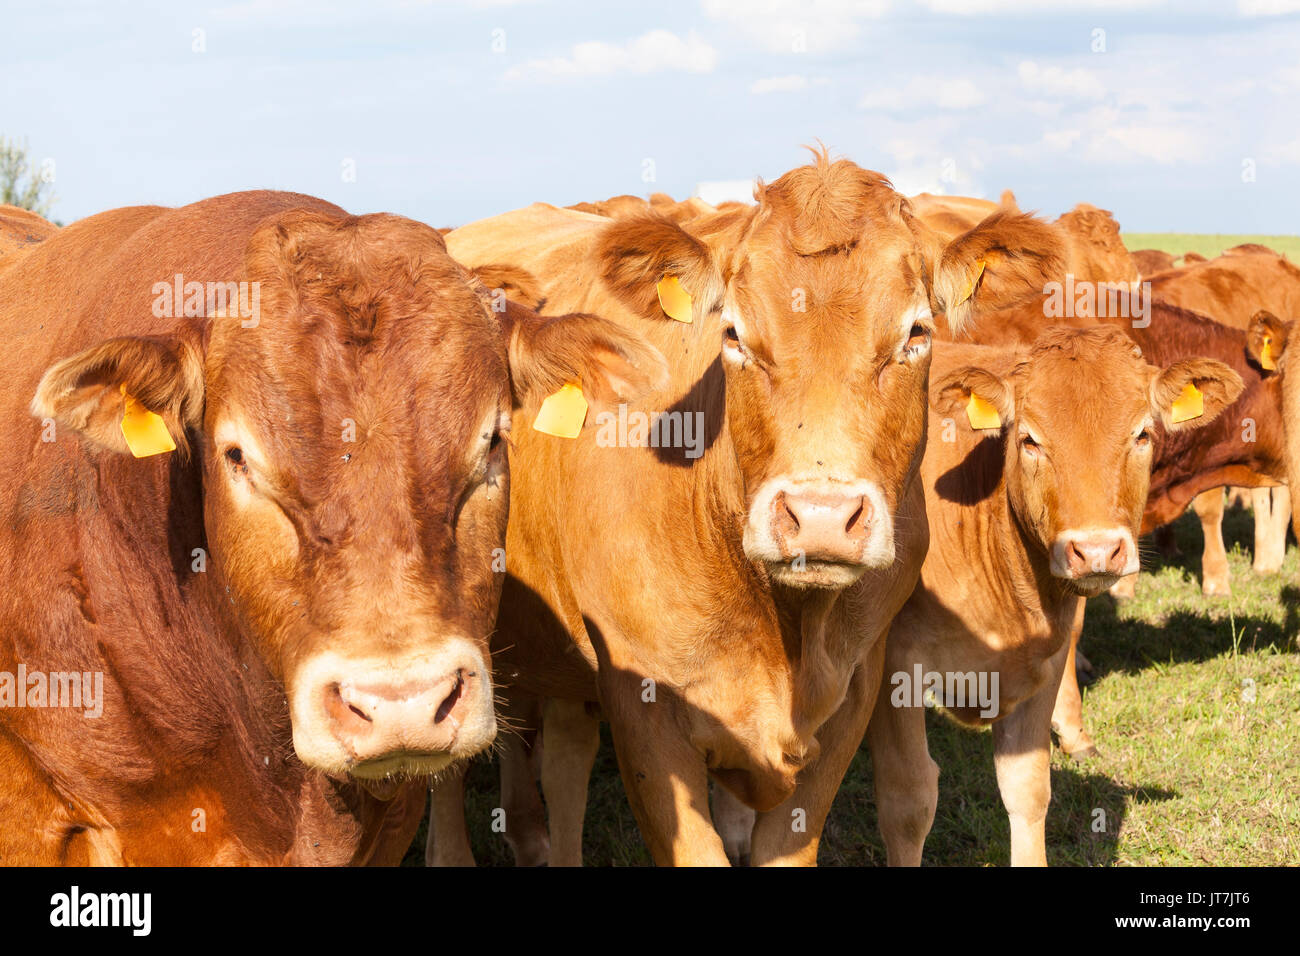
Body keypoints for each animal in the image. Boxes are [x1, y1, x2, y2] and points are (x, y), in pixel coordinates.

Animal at [873, 327, 1237, 868]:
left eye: (1142, 434)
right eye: (1029, 439)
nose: (1097, 550)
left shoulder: (1043, 662)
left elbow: (1028, 790)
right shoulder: (892, 664)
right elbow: (909, 801)